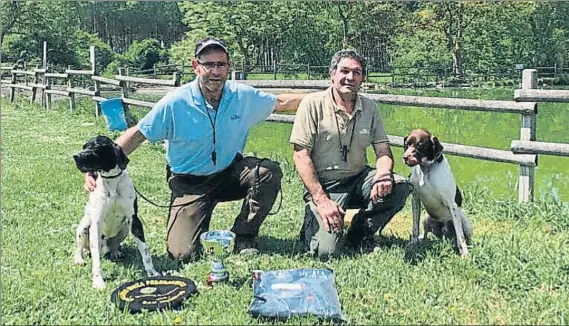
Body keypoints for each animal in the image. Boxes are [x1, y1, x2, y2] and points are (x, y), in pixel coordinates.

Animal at [72, 135, 160, 288]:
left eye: (95, 147)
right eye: (84, 146)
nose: (75, 156)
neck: (111, 181)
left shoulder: (134, 220)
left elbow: (145, 250)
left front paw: (152, 273)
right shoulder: (96, 224)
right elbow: (96, 260)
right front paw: (98, 280)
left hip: (125, 228)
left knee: (114, 245)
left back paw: (115, 252)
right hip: (83, 228)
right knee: (80, 248)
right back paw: (79, 259)